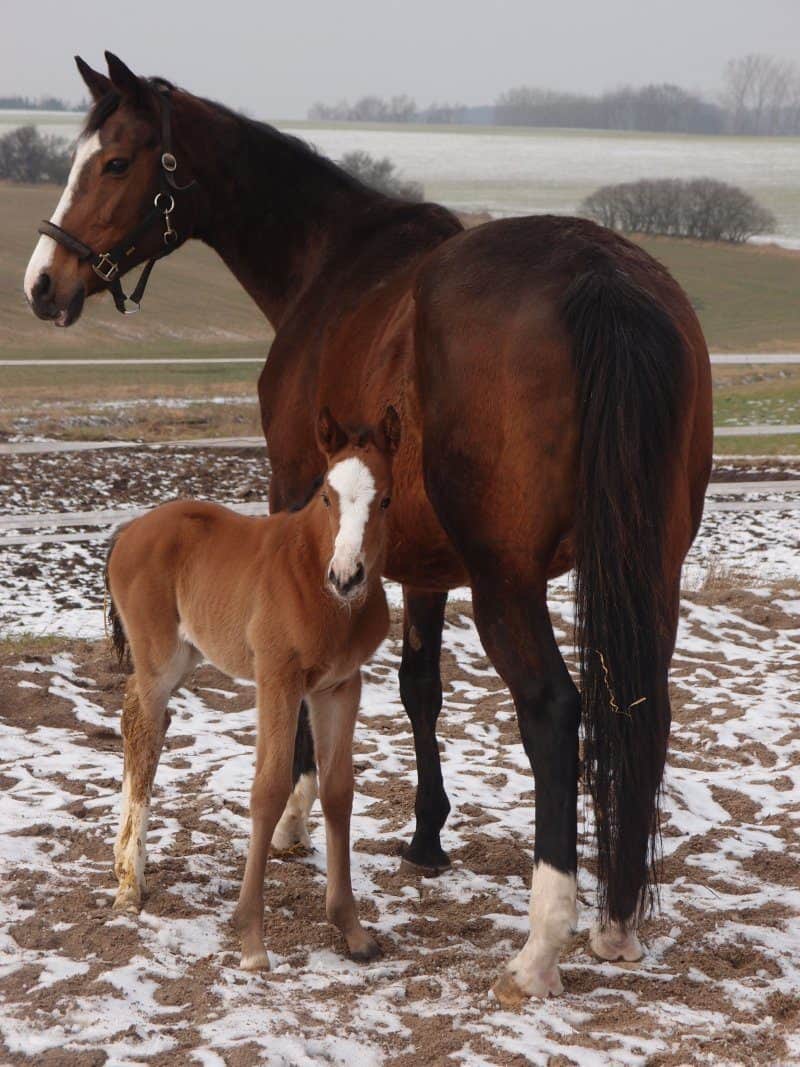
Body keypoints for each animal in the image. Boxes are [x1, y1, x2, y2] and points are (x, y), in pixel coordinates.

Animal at [105, 405, 398, 968]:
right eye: (326, 497)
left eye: (387, 499)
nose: (347, 576)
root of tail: (129, 529)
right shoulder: (277, 678)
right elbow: (268, 789)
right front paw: (252, 940)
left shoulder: (339, 686)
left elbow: (338, 791)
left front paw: (352, 930)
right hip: (160, 657)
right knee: (145, 732)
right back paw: (129, 884)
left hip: (185, 655)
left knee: (138, 717)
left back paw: (127, 867)